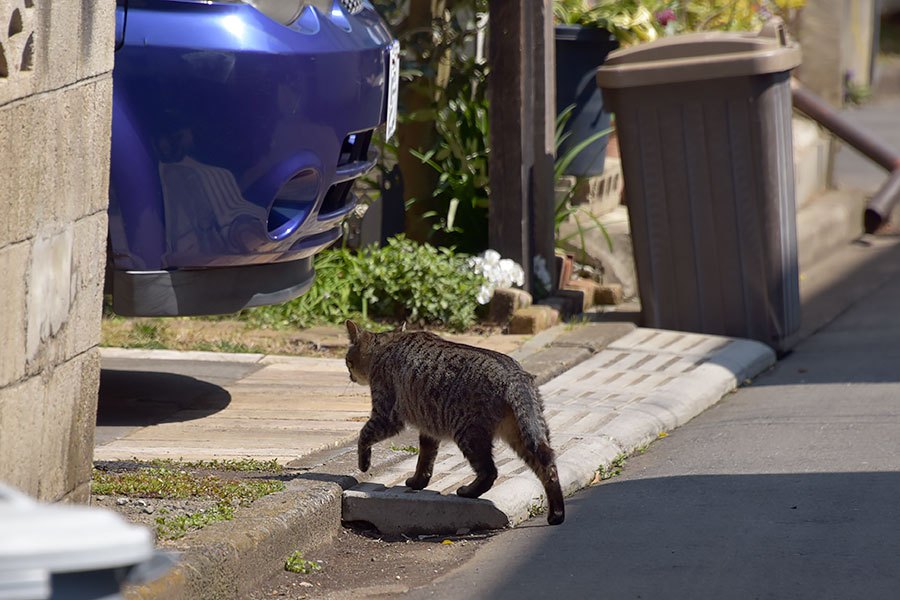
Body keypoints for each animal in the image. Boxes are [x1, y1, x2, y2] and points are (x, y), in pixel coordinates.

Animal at [344, 318, 564, 524]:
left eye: (347, 361)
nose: (349, 375)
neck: (386, 345)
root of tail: (514, 374)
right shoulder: (428, 427)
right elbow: (425, 460)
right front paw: (417, 482)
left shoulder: (386, 414)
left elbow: (364, 435)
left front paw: (363, 464)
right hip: (525, 433)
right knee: (548, 468)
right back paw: (556, 514)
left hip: (469, 434)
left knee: (490, 472)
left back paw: (468, 492)